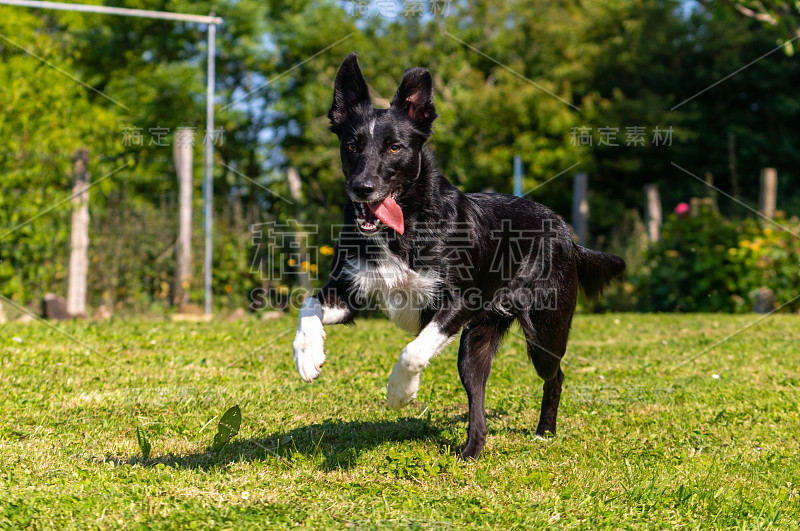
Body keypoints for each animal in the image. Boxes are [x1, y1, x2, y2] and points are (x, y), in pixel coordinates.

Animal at [294, 55, 624, 462]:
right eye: (352, 144)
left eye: (394, 148)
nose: (362, 189)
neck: (406, 226)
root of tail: (565, 232)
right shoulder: (351, 293)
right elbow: (308, 304)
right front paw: (307, 355)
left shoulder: (458, 302)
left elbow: (413, 351)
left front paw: (399, 391)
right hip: (475, 344)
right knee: (476, 390)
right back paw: (472, 449)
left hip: (545, 329)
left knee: (556, 375)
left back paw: (544, 432)